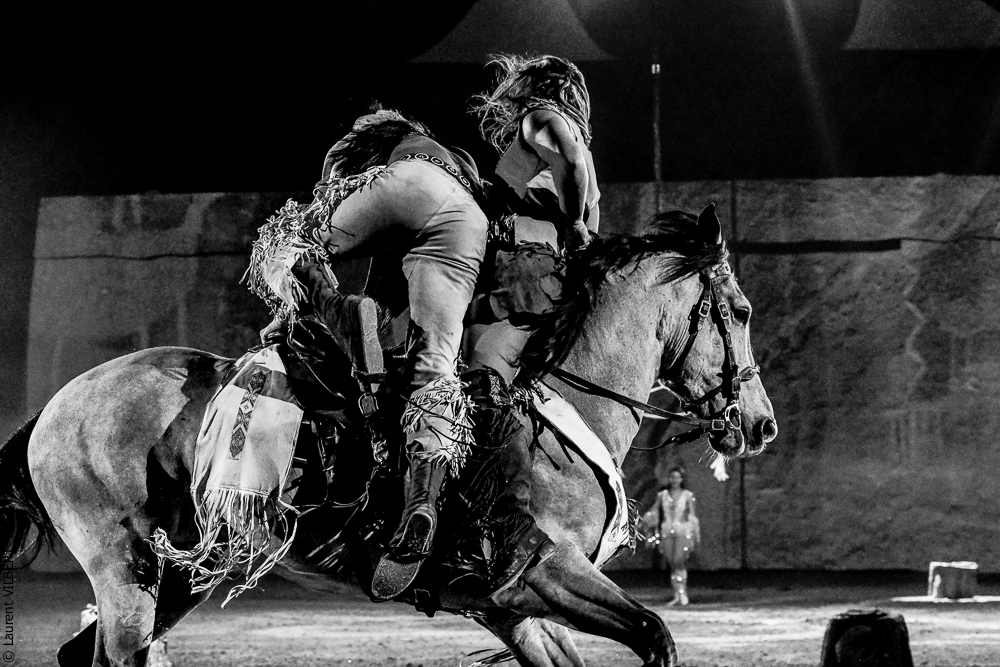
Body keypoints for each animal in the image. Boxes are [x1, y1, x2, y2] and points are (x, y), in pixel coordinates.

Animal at [0, 204, 776, 667]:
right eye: (738, 311)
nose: (761, 422)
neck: (557, 414)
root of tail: (53, 409)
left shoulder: (512, 607)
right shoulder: (545, 572)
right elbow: (655, 634)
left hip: (180, 572)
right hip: (124, 569)